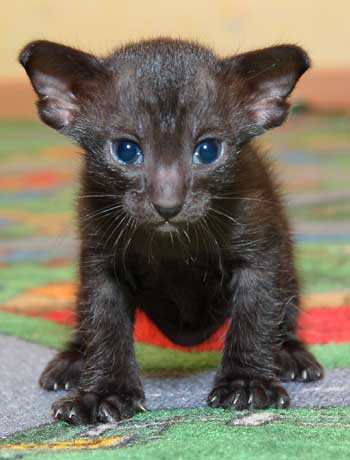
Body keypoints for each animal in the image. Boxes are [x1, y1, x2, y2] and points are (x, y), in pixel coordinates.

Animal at [19, 38, 322, 424]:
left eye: (208, 151)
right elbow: (104, 323)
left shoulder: (260, 255)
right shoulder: (101, 263)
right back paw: (73, 360)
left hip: (286, 260)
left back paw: (291, 353)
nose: (167, 204)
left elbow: (255, 316)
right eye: (126, 151)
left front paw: (247, 383)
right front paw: (102, 393)